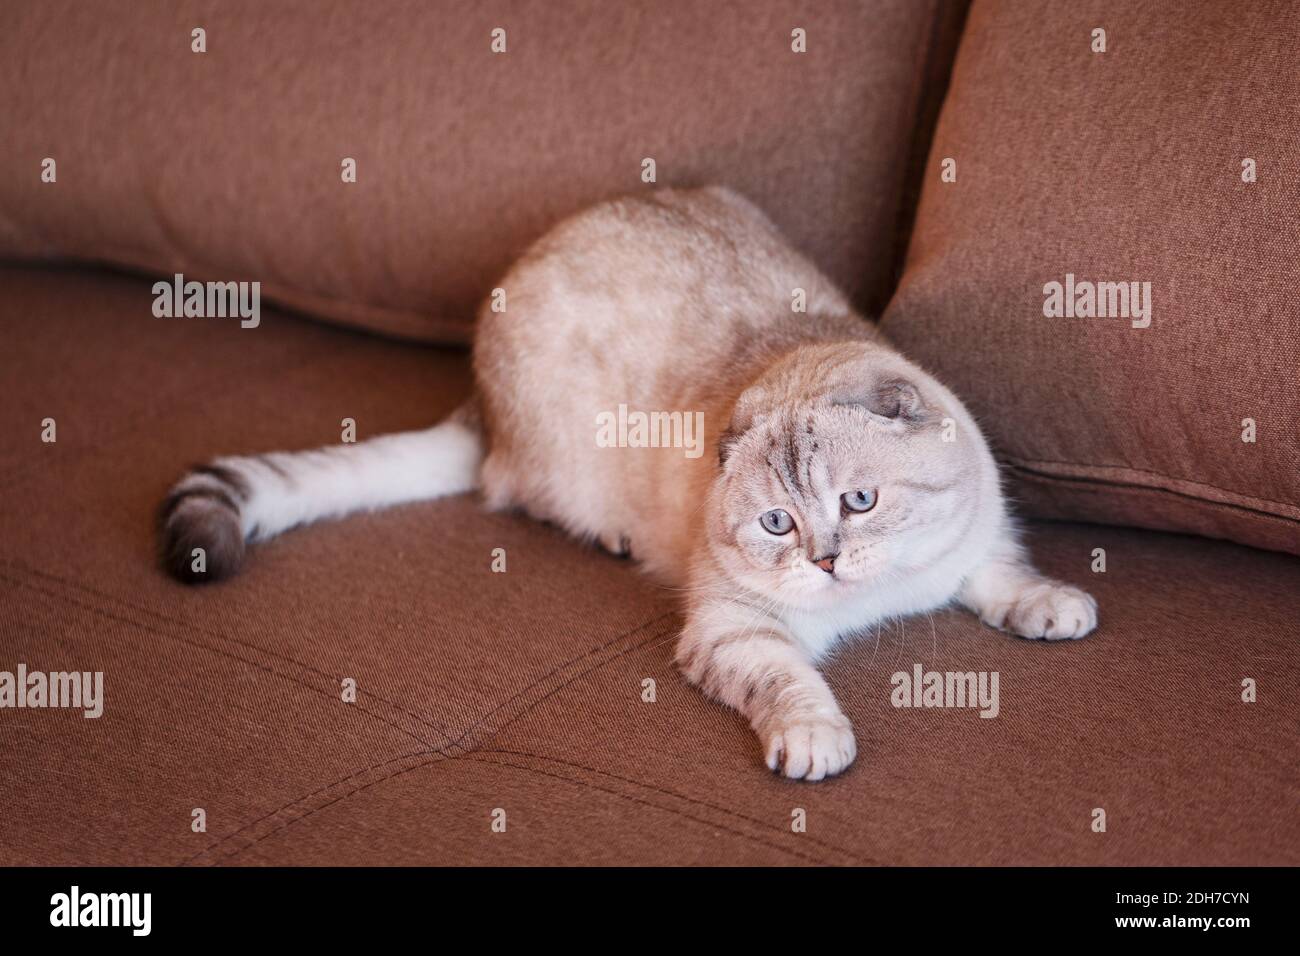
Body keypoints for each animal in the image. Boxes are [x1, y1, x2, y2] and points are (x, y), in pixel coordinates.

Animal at [159, 184, 1097, 780]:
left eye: (858, 502)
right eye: (778, 525)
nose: (827, 561)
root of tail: (483, 404)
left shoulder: (977, 541)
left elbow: (1009, 577)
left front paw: (1054, 608)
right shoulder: (736, 630)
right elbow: (795, 686)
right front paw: (815, 739)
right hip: (556, 460)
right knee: (517, 492)